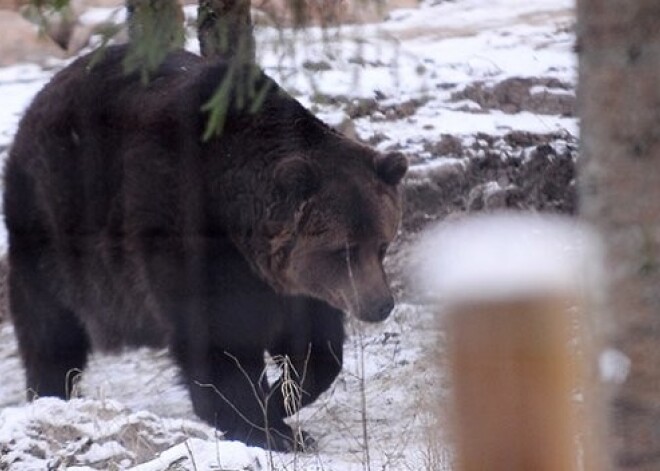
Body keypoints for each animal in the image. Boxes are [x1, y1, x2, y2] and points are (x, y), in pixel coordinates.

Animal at [5, 45, 408, 454]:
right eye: (343, 250)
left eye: (381, 244)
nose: (380, 304)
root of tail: (39, 98)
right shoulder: (183, 227)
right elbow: (217, 341)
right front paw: (264, 426)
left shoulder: (289, 284)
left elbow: (316, 349)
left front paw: (279, 400)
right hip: (50, 224)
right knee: (49, 326)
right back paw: (49, 393)